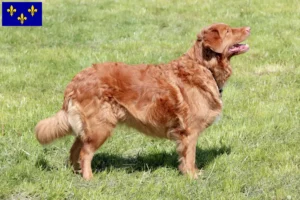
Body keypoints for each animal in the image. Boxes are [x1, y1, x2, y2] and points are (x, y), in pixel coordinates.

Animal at [35, 23, 251, 180]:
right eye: (229, 31)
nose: (249, 28)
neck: (204, 66)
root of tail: (75, 81)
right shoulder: (189, 131)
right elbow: (190, 157)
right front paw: (192, 177)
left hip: (89, 126)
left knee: (74, 150)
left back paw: (76, 173)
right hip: (101, 126)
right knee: (85, 153)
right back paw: (89, 178)